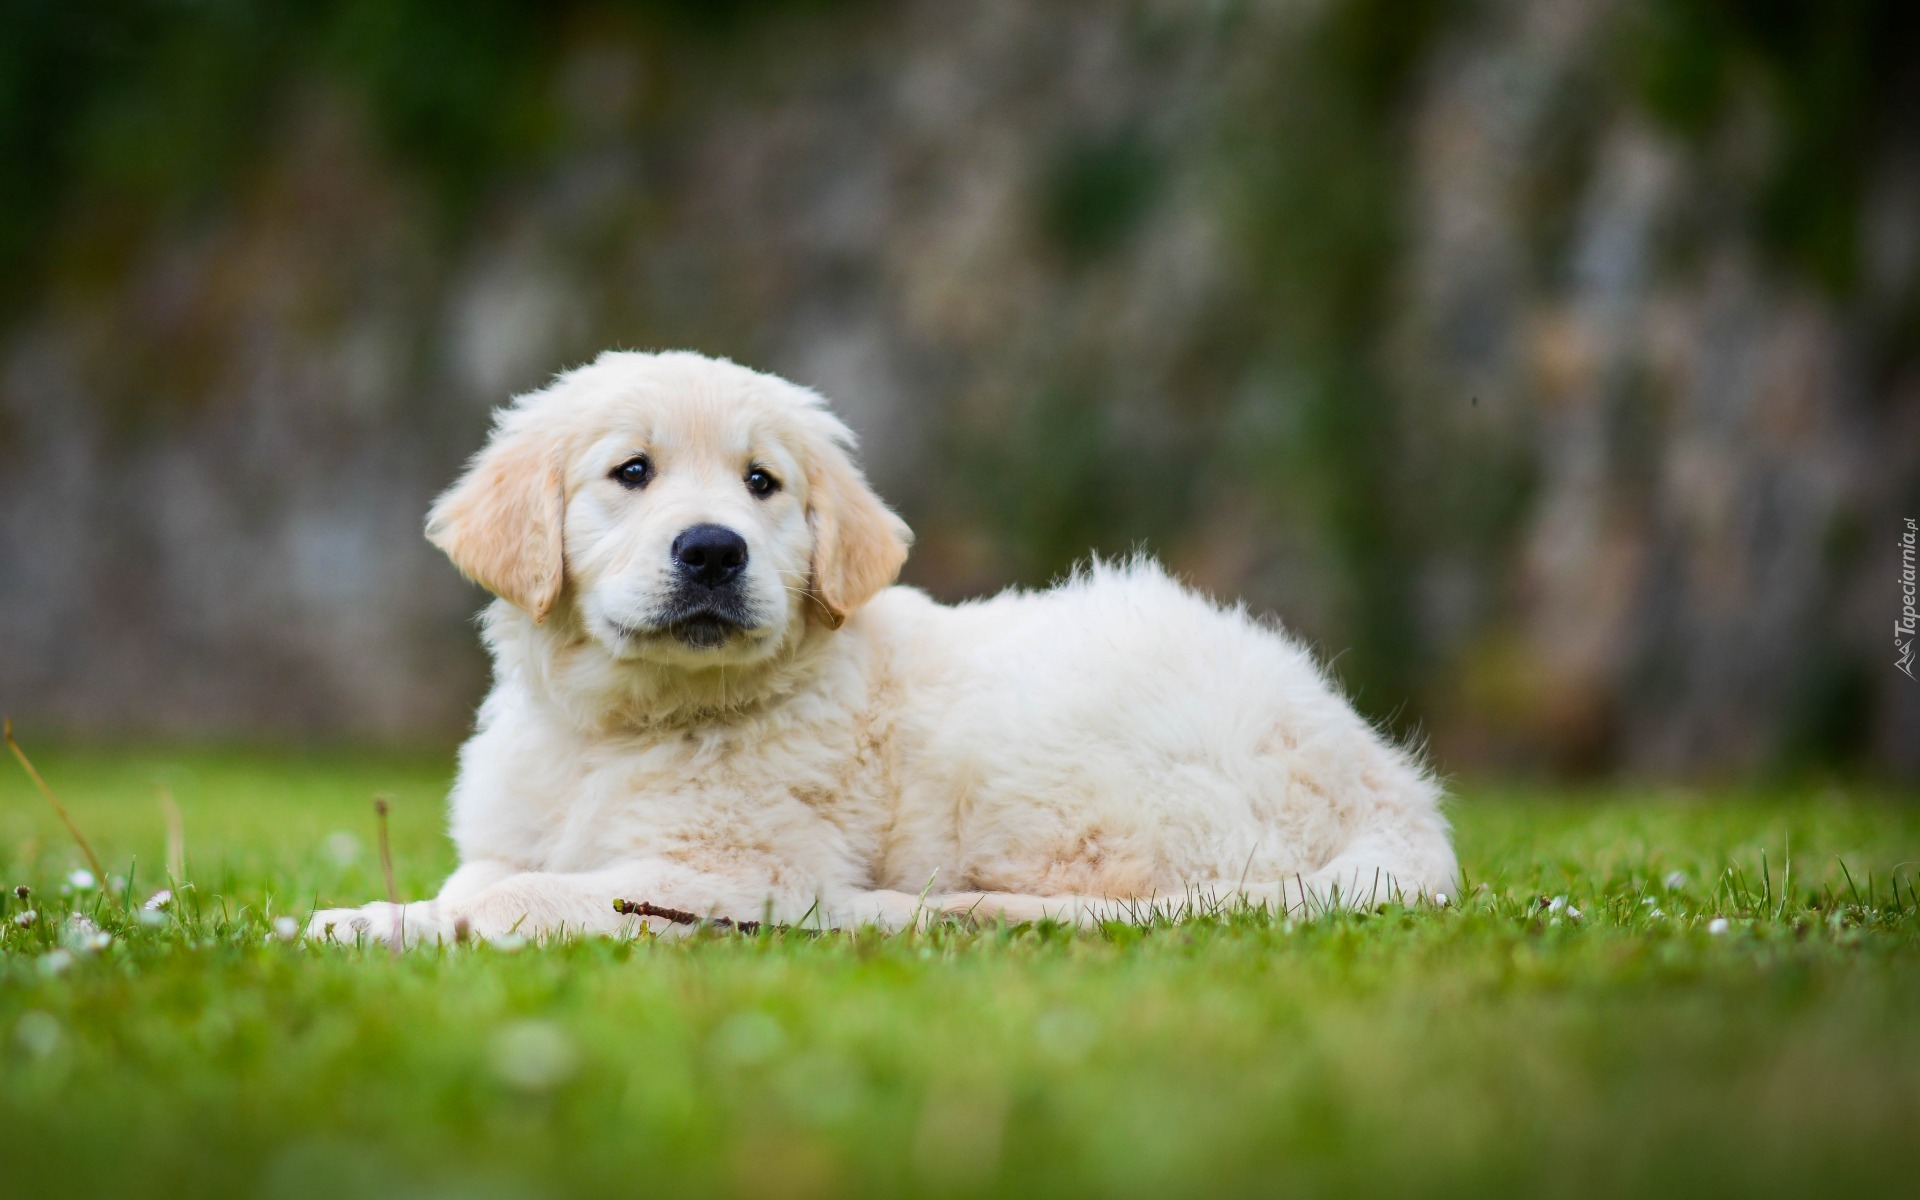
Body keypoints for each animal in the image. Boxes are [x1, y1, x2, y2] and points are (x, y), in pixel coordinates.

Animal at [311, 351, 1451, 940]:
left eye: (762, 483)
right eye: (631, 472)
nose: (714, 549)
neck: (630, 724)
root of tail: (1391, 790)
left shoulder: (737, 870)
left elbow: (517, 899)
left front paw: (361, 924)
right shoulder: (518, 832)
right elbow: (480, 881)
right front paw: (388, 915)